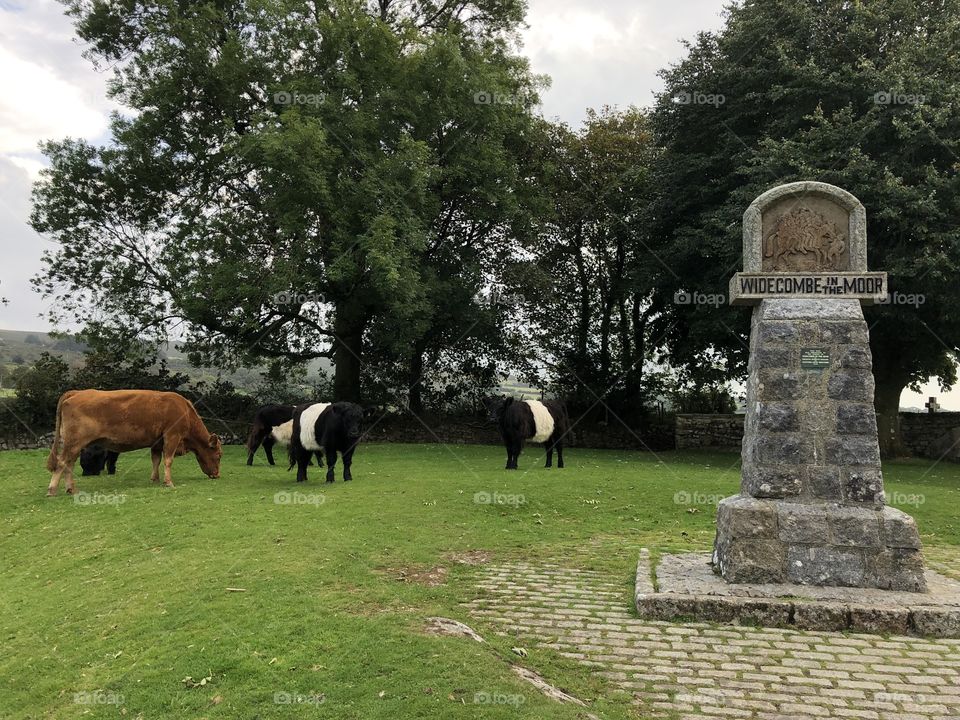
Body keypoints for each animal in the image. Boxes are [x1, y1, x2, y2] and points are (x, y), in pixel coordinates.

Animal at [46, 388, 222, 496]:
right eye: (219, 455)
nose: (217, 475)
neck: (184, 410)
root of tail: (76, 392)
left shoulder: (157, 442)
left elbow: (156, 460)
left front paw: (155, 479)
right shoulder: (172, 436)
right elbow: (168, 460)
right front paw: (168, 482)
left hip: (74, 446)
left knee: (69, 464)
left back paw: (71, 489)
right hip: (73, 443)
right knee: (62, 462)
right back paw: (52, 490)